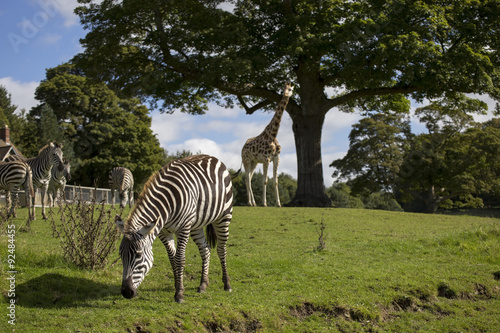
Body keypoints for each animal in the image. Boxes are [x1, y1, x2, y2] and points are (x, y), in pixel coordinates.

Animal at [115, 154, 234, 302]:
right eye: (120, 255)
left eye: (138, 255)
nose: (126, 292)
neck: (166, 206)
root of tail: (213, 158)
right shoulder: (163, 231)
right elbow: (172, 259)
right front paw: (178, 285)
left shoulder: (183, 229)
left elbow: (180, 259)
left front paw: (179, 294)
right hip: (196, 225)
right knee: (205, 249)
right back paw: (203, 284)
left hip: (224, 216)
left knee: (221, 249)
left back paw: (227, 284)